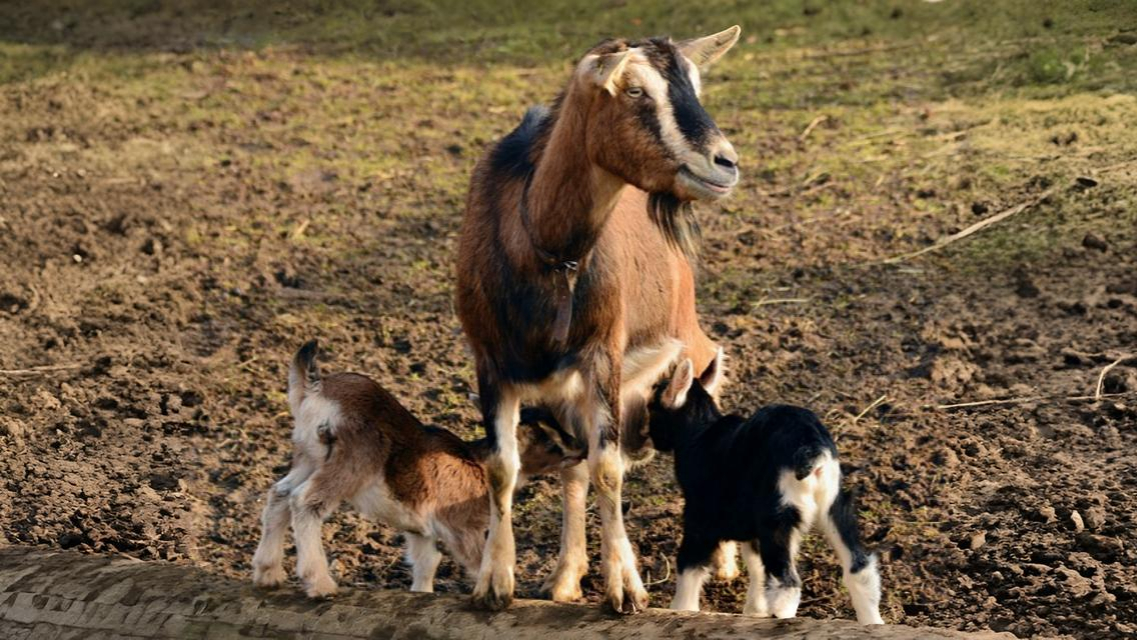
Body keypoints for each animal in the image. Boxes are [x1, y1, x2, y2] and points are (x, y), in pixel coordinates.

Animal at [252, 343, 582, 600]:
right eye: (549, 442)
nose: (581, 448)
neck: (477, 464)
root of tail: (315, 390)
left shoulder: (420, 529)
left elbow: (427, 562)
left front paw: (421, 595)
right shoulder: (460, 525)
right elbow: (477, 562)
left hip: (308, 456)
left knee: (279, 494)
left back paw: (268, 573)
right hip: (352, 460)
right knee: (305, 501)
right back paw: (320, 585)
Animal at [645, 352, 882, 622]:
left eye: (651, 406)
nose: (651, 440)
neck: (699, 433)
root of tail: (810, 447)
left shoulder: (699, 517)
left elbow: (689, 567)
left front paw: (680, 611)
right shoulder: (751, 525)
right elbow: (756, 565)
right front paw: (754, 612)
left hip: (778, 512)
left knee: (787, 583)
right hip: (834, 506)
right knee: (860, 569)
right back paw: (872, 623)